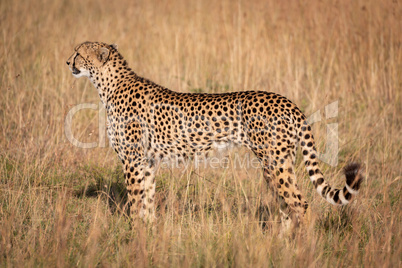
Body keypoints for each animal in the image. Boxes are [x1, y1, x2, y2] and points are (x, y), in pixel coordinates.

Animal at [66, 42, 364, 226]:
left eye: (78, 52)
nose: (67, 61)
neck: (108, 85)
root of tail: (287, 101)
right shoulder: (147, 161)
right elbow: (147, 200)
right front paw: (148, 233)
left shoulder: (133, 161)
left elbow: (135, 200)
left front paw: (133, 234)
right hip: (277, 164)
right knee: (287, 205)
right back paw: (281, 245)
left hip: (274, 162)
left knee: (301, 205)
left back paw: (304, 249)